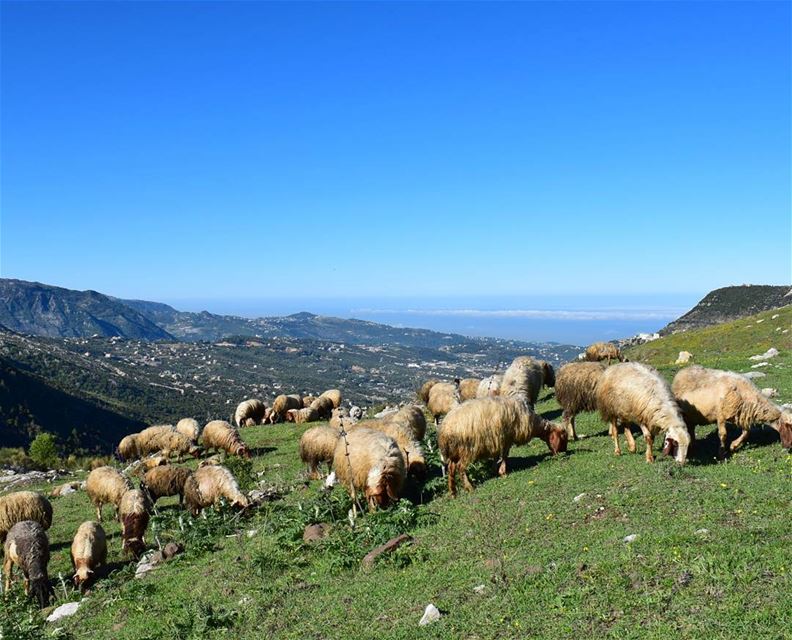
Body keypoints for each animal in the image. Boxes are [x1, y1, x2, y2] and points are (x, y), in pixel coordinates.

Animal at [440, 396, 568, 496]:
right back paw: (469, 487)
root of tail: (444, 430)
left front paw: (494, 470)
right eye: (563, 438)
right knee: (460, 467)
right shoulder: (506, 439)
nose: (564, 453)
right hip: (467, 449)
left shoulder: (497, 440)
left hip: (454, 451)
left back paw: (453, 492)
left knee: (451, 469)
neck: (533, 423)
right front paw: (503, 472)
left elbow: (497, 455)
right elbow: (505, 455)